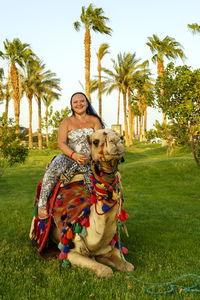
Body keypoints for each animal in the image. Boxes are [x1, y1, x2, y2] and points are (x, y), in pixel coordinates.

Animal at [30, 128, 134, 276]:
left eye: (121, 136)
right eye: (95, 141)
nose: (116, 142)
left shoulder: (107, 248)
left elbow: (129, 266)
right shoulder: (71, 252)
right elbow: (105, 271)